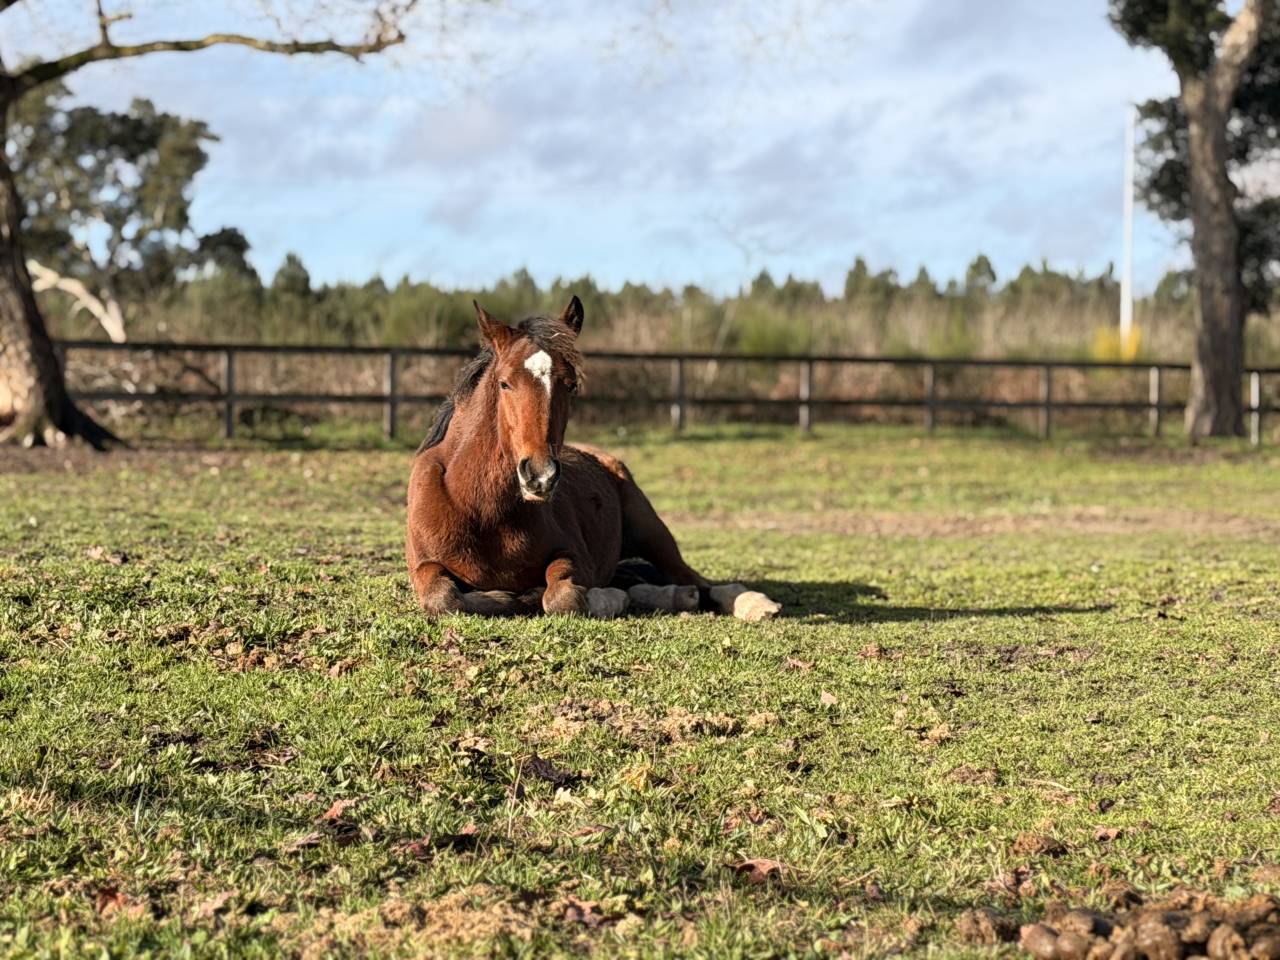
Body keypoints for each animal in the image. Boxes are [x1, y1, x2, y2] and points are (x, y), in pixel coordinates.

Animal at [405, 296, 707, 616]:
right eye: (504, 383)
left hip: (653, 534)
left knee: (696, 582)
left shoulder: (575, 556)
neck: (482, 511)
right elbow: (444, 598)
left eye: (571, 385)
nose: (540, 476)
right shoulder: (423, 564)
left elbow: (562, 596)